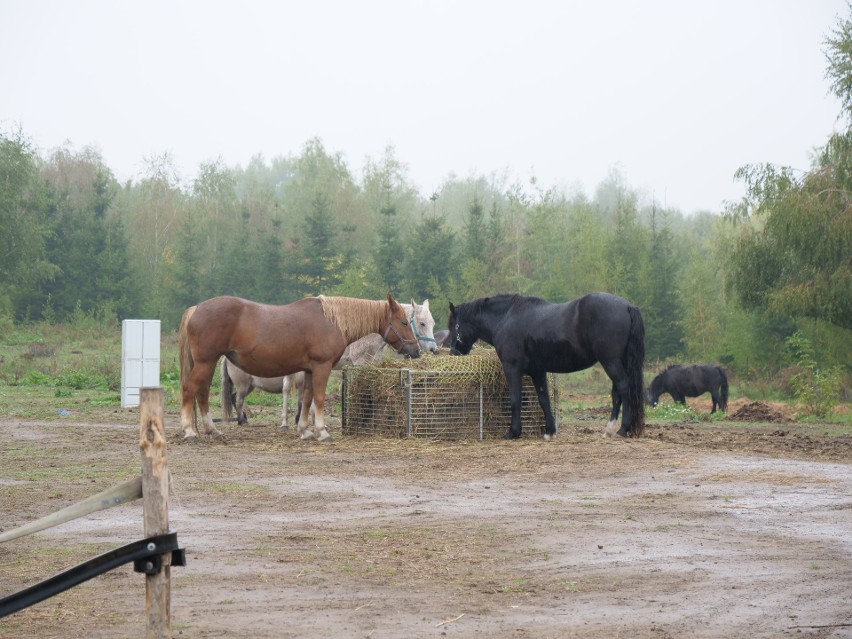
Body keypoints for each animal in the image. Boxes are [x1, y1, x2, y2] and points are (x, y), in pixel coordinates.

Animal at [450, 294, 644, 440]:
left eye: (453, 326)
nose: (453, 352)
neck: (506, 318)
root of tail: (627, 306)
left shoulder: (512, 369)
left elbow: (515, 399)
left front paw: (513, 432)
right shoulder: (538, 372)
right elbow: (544, 399)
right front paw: (550, 431)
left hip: (610, 362)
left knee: (624, 388)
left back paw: (623, 429)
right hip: (618, 362)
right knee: (617, 393)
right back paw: (610, 429)